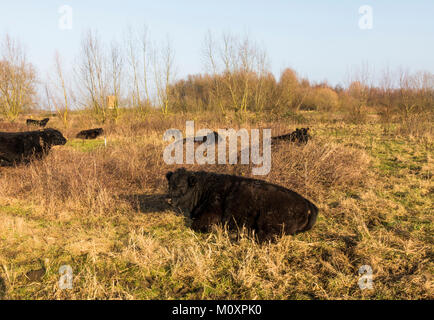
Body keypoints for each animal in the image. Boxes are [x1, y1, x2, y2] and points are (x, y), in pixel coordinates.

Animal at [166, 169, 318, 241]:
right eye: (169, 184)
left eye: (181, 186)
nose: (168, 200)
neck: (205, 189)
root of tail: (307, 203)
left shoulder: (209, 217)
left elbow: (195, 226)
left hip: (267, 222)